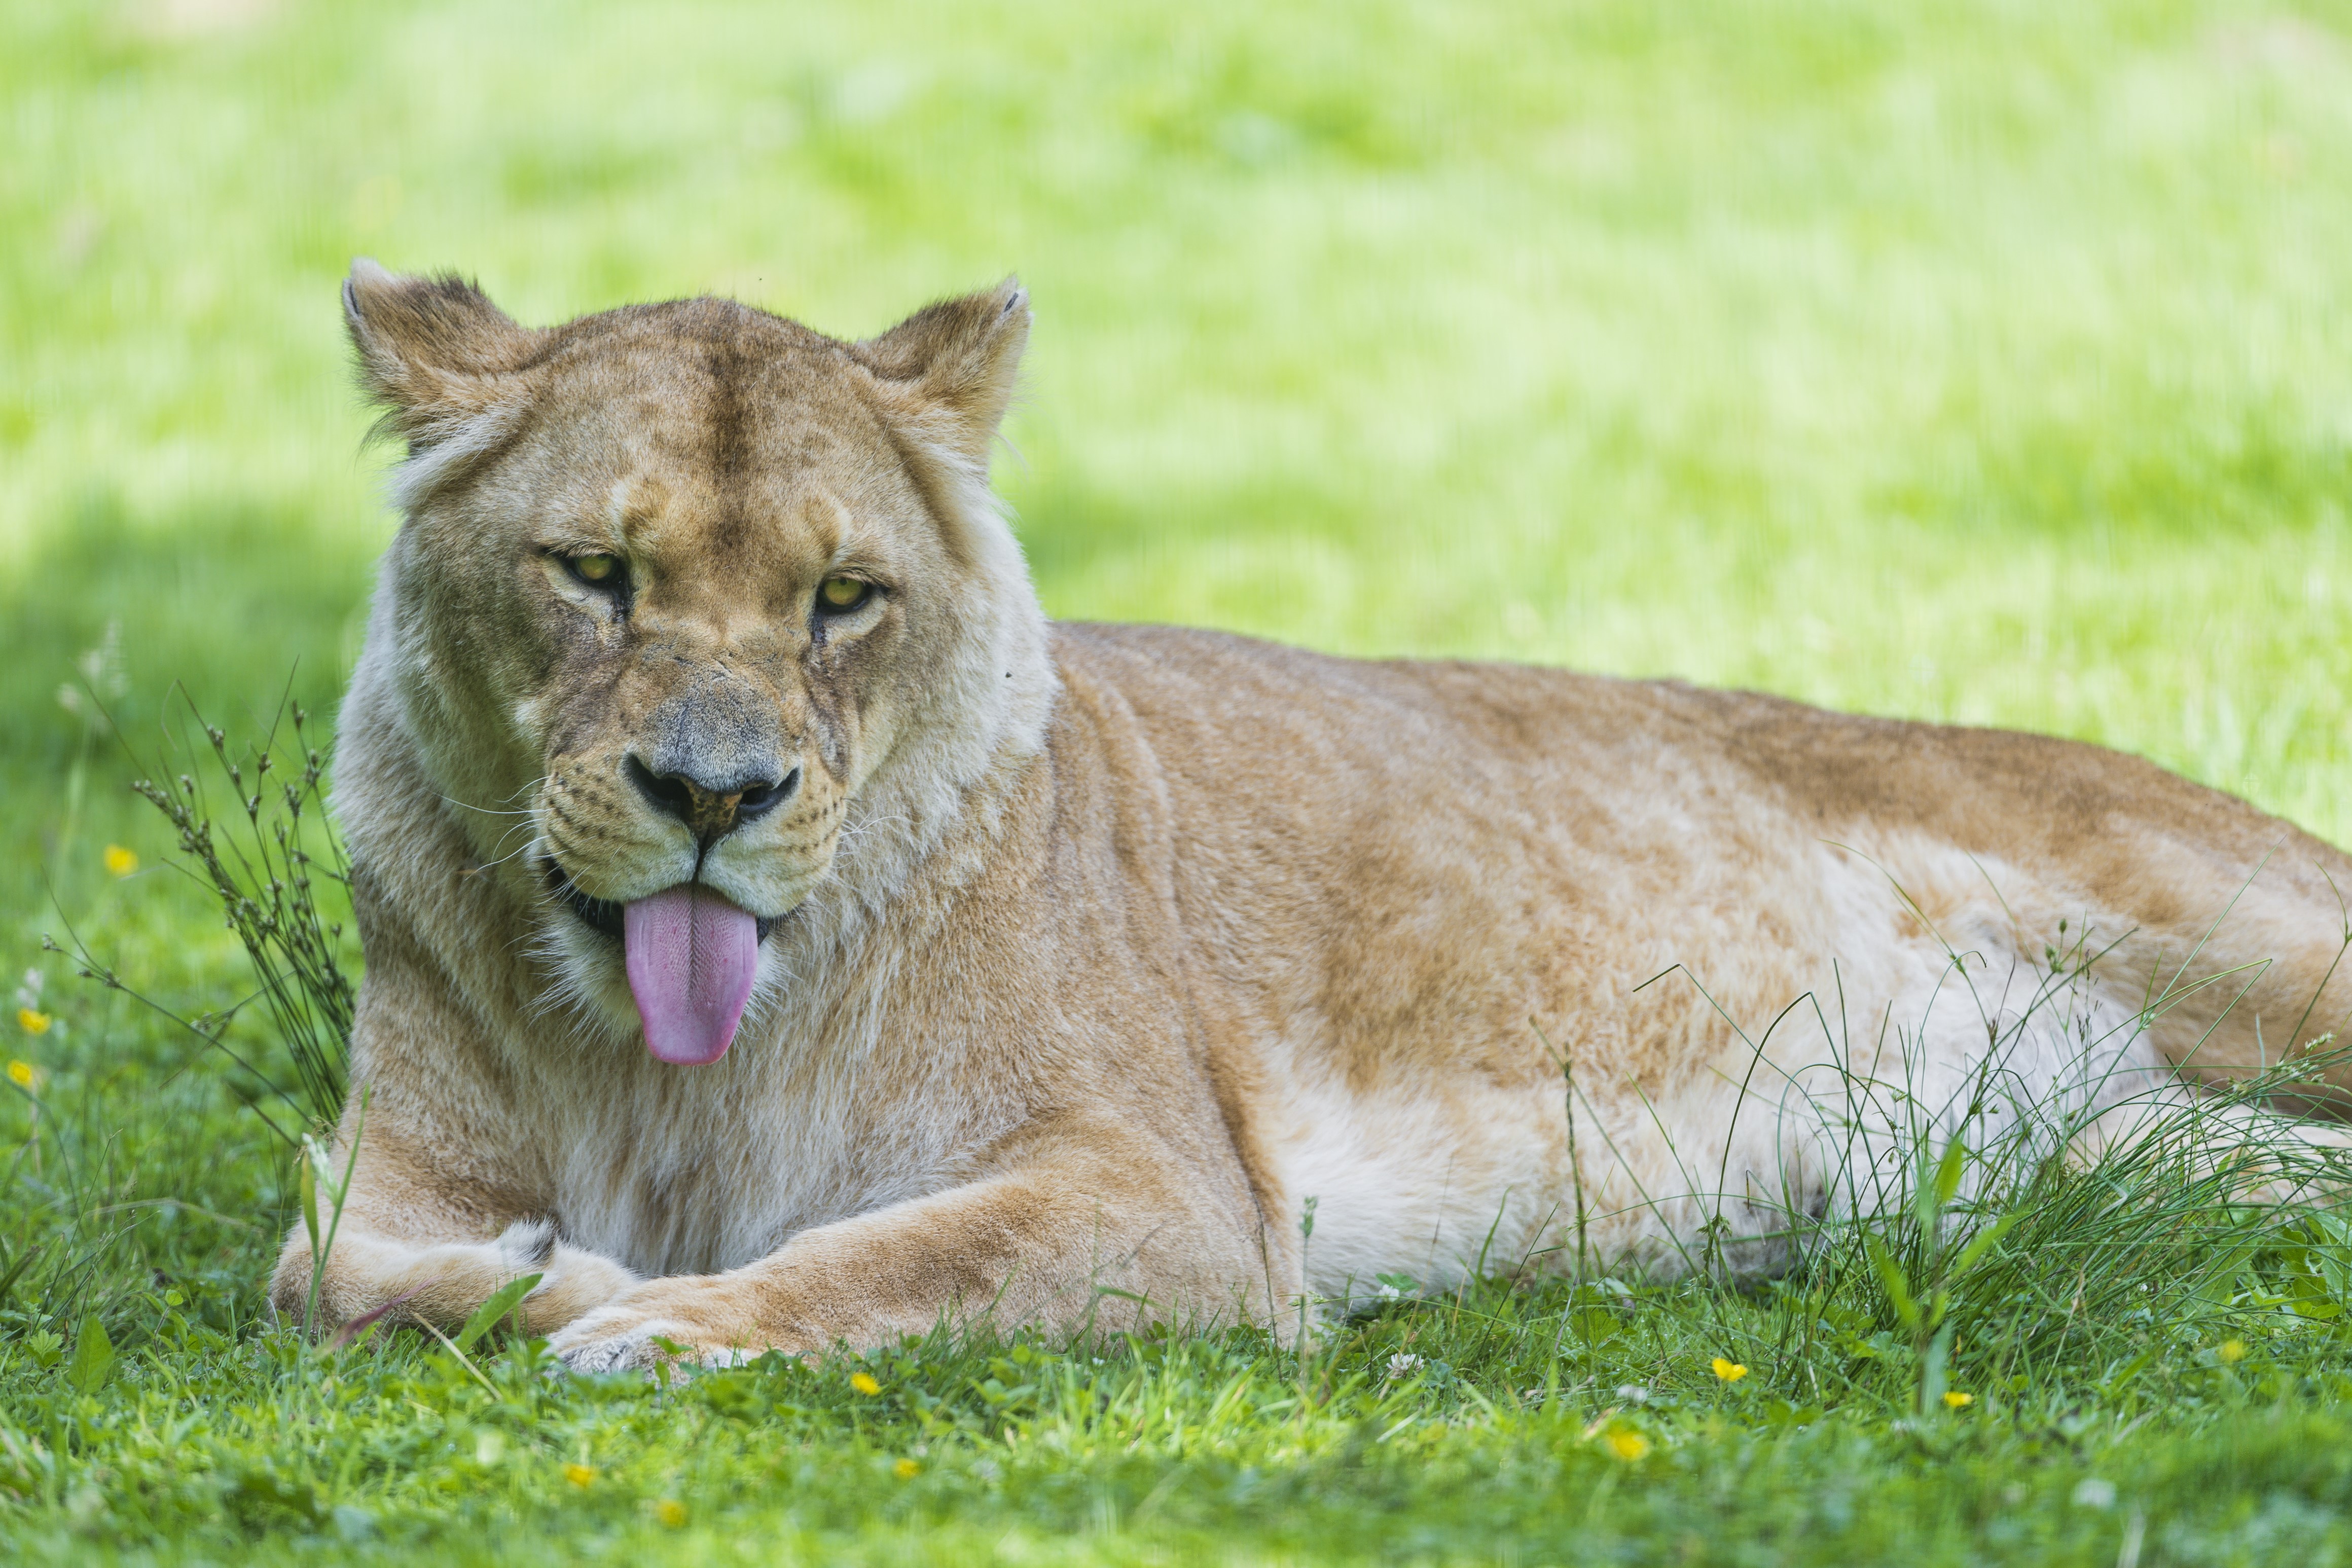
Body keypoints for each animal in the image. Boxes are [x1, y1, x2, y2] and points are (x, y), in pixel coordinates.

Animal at [272, 261, 2352, 1370]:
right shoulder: (394, 1166)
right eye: (595, 576)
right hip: (2116, 1160)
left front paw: (651, 1319)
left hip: (2261, 964)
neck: (667, 1071)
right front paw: (541, 1276)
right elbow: (323, 1268)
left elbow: (889, 1255)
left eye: (840, 599)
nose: (715, 794)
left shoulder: (1174, 1200)